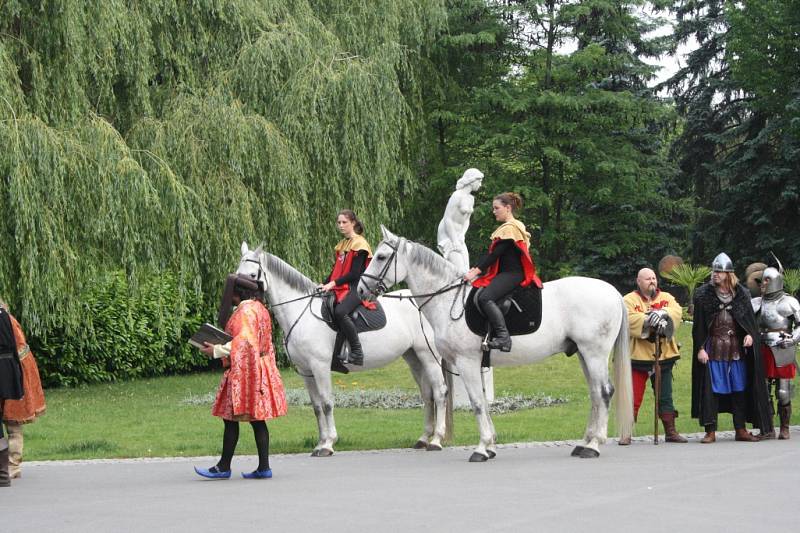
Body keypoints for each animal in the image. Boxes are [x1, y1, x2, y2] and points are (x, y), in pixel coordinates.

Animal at [236, 243, 450, 456]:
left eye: (253, 275)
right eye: (238, 274)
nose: (239, 302)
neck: (301, 313)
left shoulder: (320, 367)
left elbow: (327, 403)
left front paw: (328, 444)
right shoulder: (306, 371)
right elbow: (316, 406)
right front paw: (320, 443)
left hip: (429, 357)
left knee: (439, 393)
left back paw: (436, 440)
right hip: (414, 358)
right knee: (427, 394)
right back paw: (423, 439)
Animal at [360, 227, 636, 460]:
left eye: (382, 257)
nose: (362, 291)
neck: (448, 299)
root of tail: (613, 292)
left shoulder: (467, 362)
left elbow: (477, 403)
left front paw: (482, 448)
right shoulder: (474, 364)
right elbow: (482, 402)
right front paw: (491, 444)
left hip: (594, 353)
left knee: (604, 392)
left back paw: (594, 445)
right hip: (583, 354)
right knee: (595, 393)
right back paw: (584, 442)